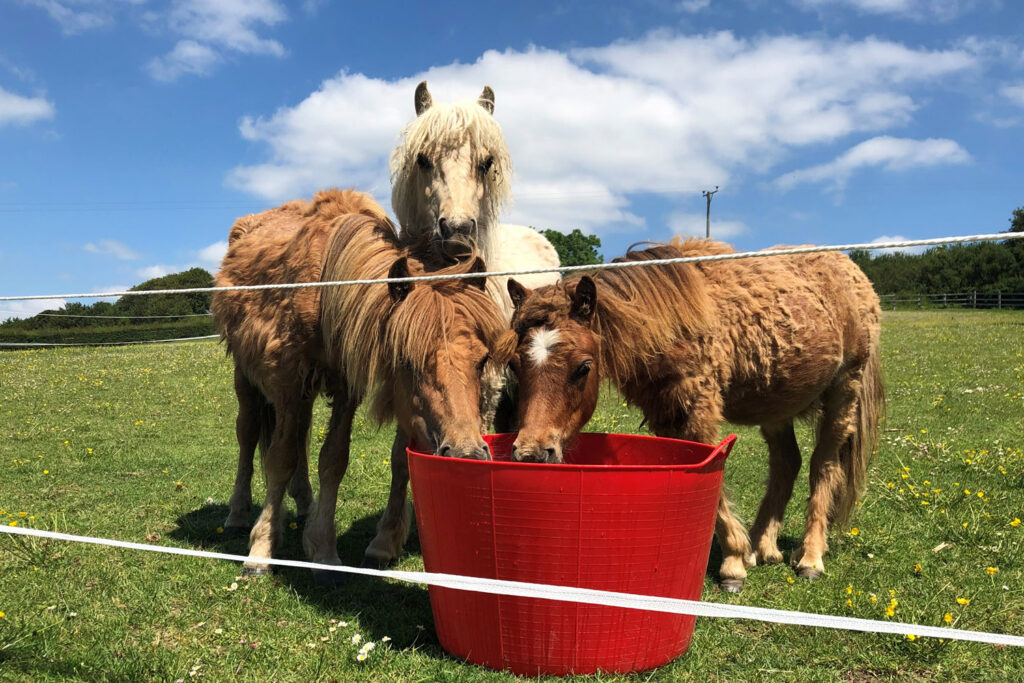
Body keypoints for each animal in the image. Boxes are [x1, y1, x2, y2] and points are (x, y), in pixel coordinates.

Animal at [210, 191, 512, 577]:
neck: (325, 284)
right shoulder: (289, 378)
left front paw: (323, 550)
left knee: (301, 436)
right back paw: (237, 513)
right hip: (246, 376)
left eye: (482, 359)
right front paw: (261, 549)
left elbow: (333, 459)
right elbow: (280, 458)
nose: (467, 452)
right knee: (248, 435)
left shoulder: (344, 387)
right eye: (406, 360)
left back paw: (305, 504)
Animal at [507, 239, 884, 593]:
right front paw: (738, 553)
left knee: (823, 466)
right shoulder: (665, 417)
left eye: (583, 367)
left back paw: (810, 557)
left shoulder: (697, 411)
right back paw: (761, 547)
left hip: (844, 391)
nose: (532, 452)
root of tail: (852, 271)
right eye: (513, 364)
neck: (665, 322)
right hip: (776, 404)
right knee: (786, 463)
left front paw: (732, 565)